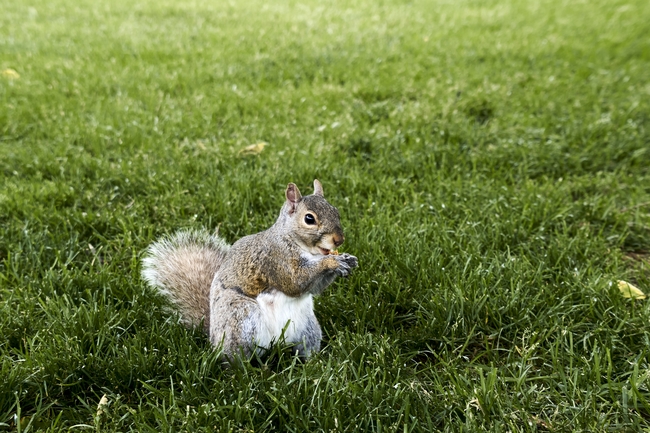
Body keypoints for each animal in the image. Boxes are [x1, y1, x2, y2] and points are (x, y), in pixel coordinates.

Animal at [140, 177, 360, 360]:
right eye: (309, 219)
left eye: (336, 211)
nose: (339, 240)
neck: (302, 247)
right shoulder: (275, 259)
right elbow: (295, 282)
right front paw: (332, 262)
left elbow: (314, 288)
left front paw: (347, 259)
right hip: (241, 317)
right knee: (236, 358)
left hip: (307, 329)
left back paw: (312, 363)